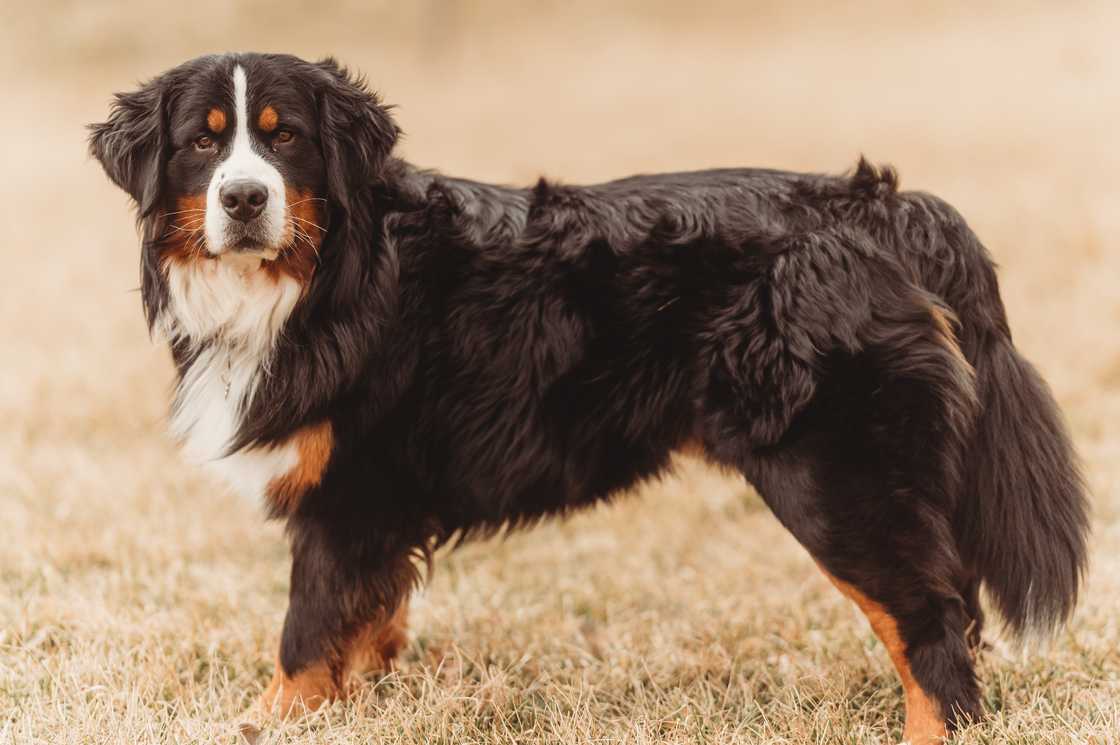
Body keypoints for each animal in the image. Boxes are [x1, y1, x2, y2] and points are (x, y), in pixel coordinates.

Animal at [91, 53, 1088, 743]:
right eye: (202, 142)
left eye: (285, 136)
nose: (244, 197)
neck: (323, 275)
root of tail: (878, 207)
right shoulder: (374, 513)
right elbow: (366, 623)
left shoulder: (348, 498)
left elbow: (303, 636)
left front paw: (268, 718)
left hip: (836, 480)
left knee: (931, 625)